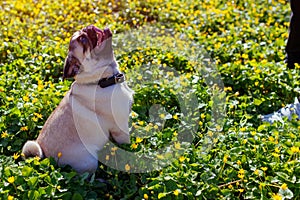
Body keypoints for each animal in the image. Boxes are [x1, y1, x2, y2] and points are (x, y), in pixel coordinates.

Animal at [22, 25, 132, 173]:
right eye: (83, 40)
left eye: (83, 34)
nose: (88, 28)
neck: (100, 81)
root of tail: (46, 157)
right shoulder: (120, 129)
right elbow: (127, 144)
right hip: (90, 161)